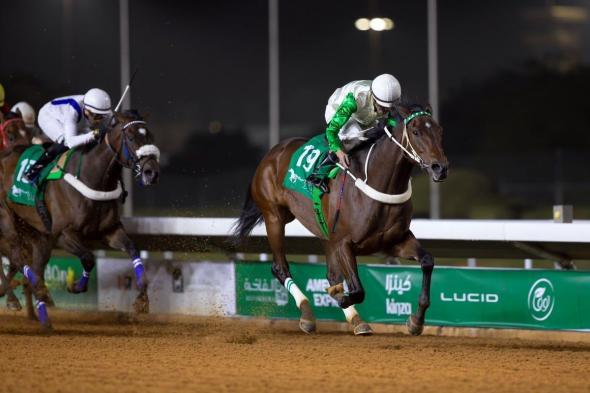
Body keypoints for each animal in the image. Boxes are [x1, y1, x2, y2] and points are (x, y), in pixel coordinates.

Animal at [0, 108, 161, 330]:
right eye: (130, 137)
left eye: (150, 136)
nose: (151, 172)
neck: (92, 177)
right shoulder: (63, 234)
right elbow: (88, 258)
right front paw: (75, 285)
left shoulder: (110, 231)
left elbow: (133, 250)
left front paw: (141, 301)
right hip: (8, 222)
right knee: (16, 258)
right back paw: (16, 299)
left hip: (37, 233)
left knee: (32, 266)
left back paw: (38, 308)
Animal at [231, 103, 448, 334]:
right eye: (416, 132)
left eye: (440, 130)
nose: (440, 168)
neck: (378, 183)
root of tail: (274, 151)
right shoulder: (344, 243)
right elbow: (357, 289)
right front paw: (342, 299)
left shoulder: (393, 241)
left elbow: (427, 261)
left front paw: (416, 321)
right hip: (274, 217)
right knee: (280, 267)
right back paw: (308, 315)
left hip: (324, 233)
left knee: (331, 275)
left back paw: (356, 320)